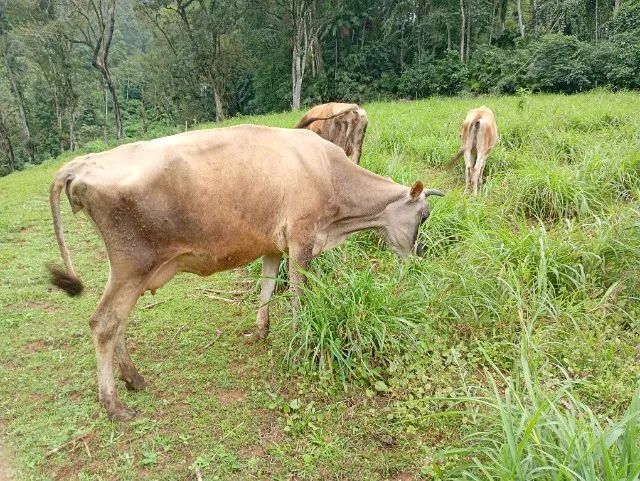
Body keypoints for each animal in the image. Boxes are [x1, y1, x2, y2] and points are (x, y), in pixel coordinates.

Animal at [48, 125, 444, 421]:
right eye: (423, 216)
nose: (420, 255)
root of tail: (83, 162)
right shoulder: (301, 240)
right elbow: (298, 295)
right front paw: (300, 339)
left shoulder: (272, 245)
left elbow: (267, 287)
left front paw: (261, 330)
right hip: (133, 265)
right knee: (104, 323)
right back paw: (114, 404)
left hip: (128, 271)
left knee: (118, 322)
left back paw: (133, 378)